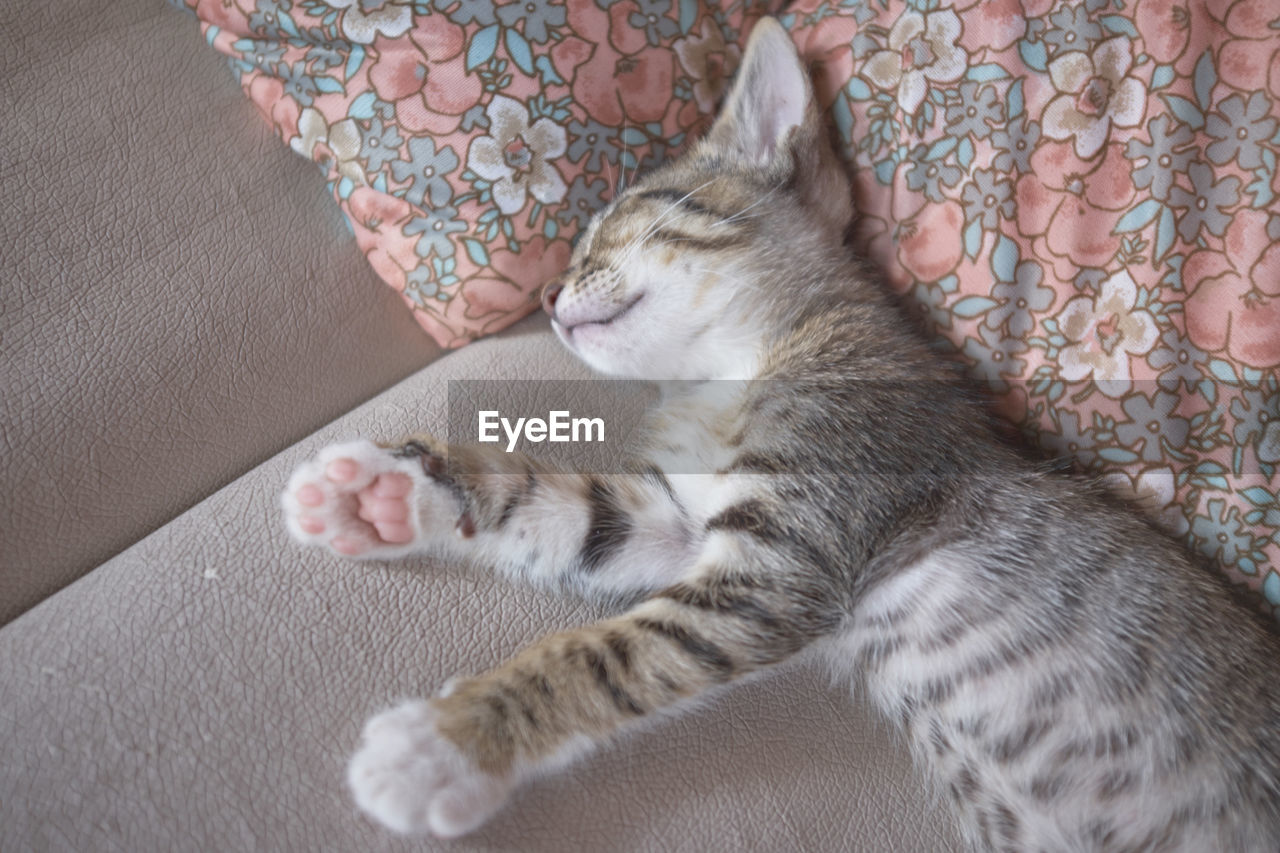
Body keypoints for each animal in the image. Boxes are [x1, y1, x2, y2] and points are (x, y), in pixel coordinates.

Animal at [282, 19, 1280, 850]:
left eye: (621, 219)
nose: (551, 295)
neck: (739, 366)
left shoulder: (779, 562)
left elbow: (604, 655)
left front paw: (444, 743)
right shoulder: (673, 526)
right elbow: (549, 503)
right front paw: (387, 496)